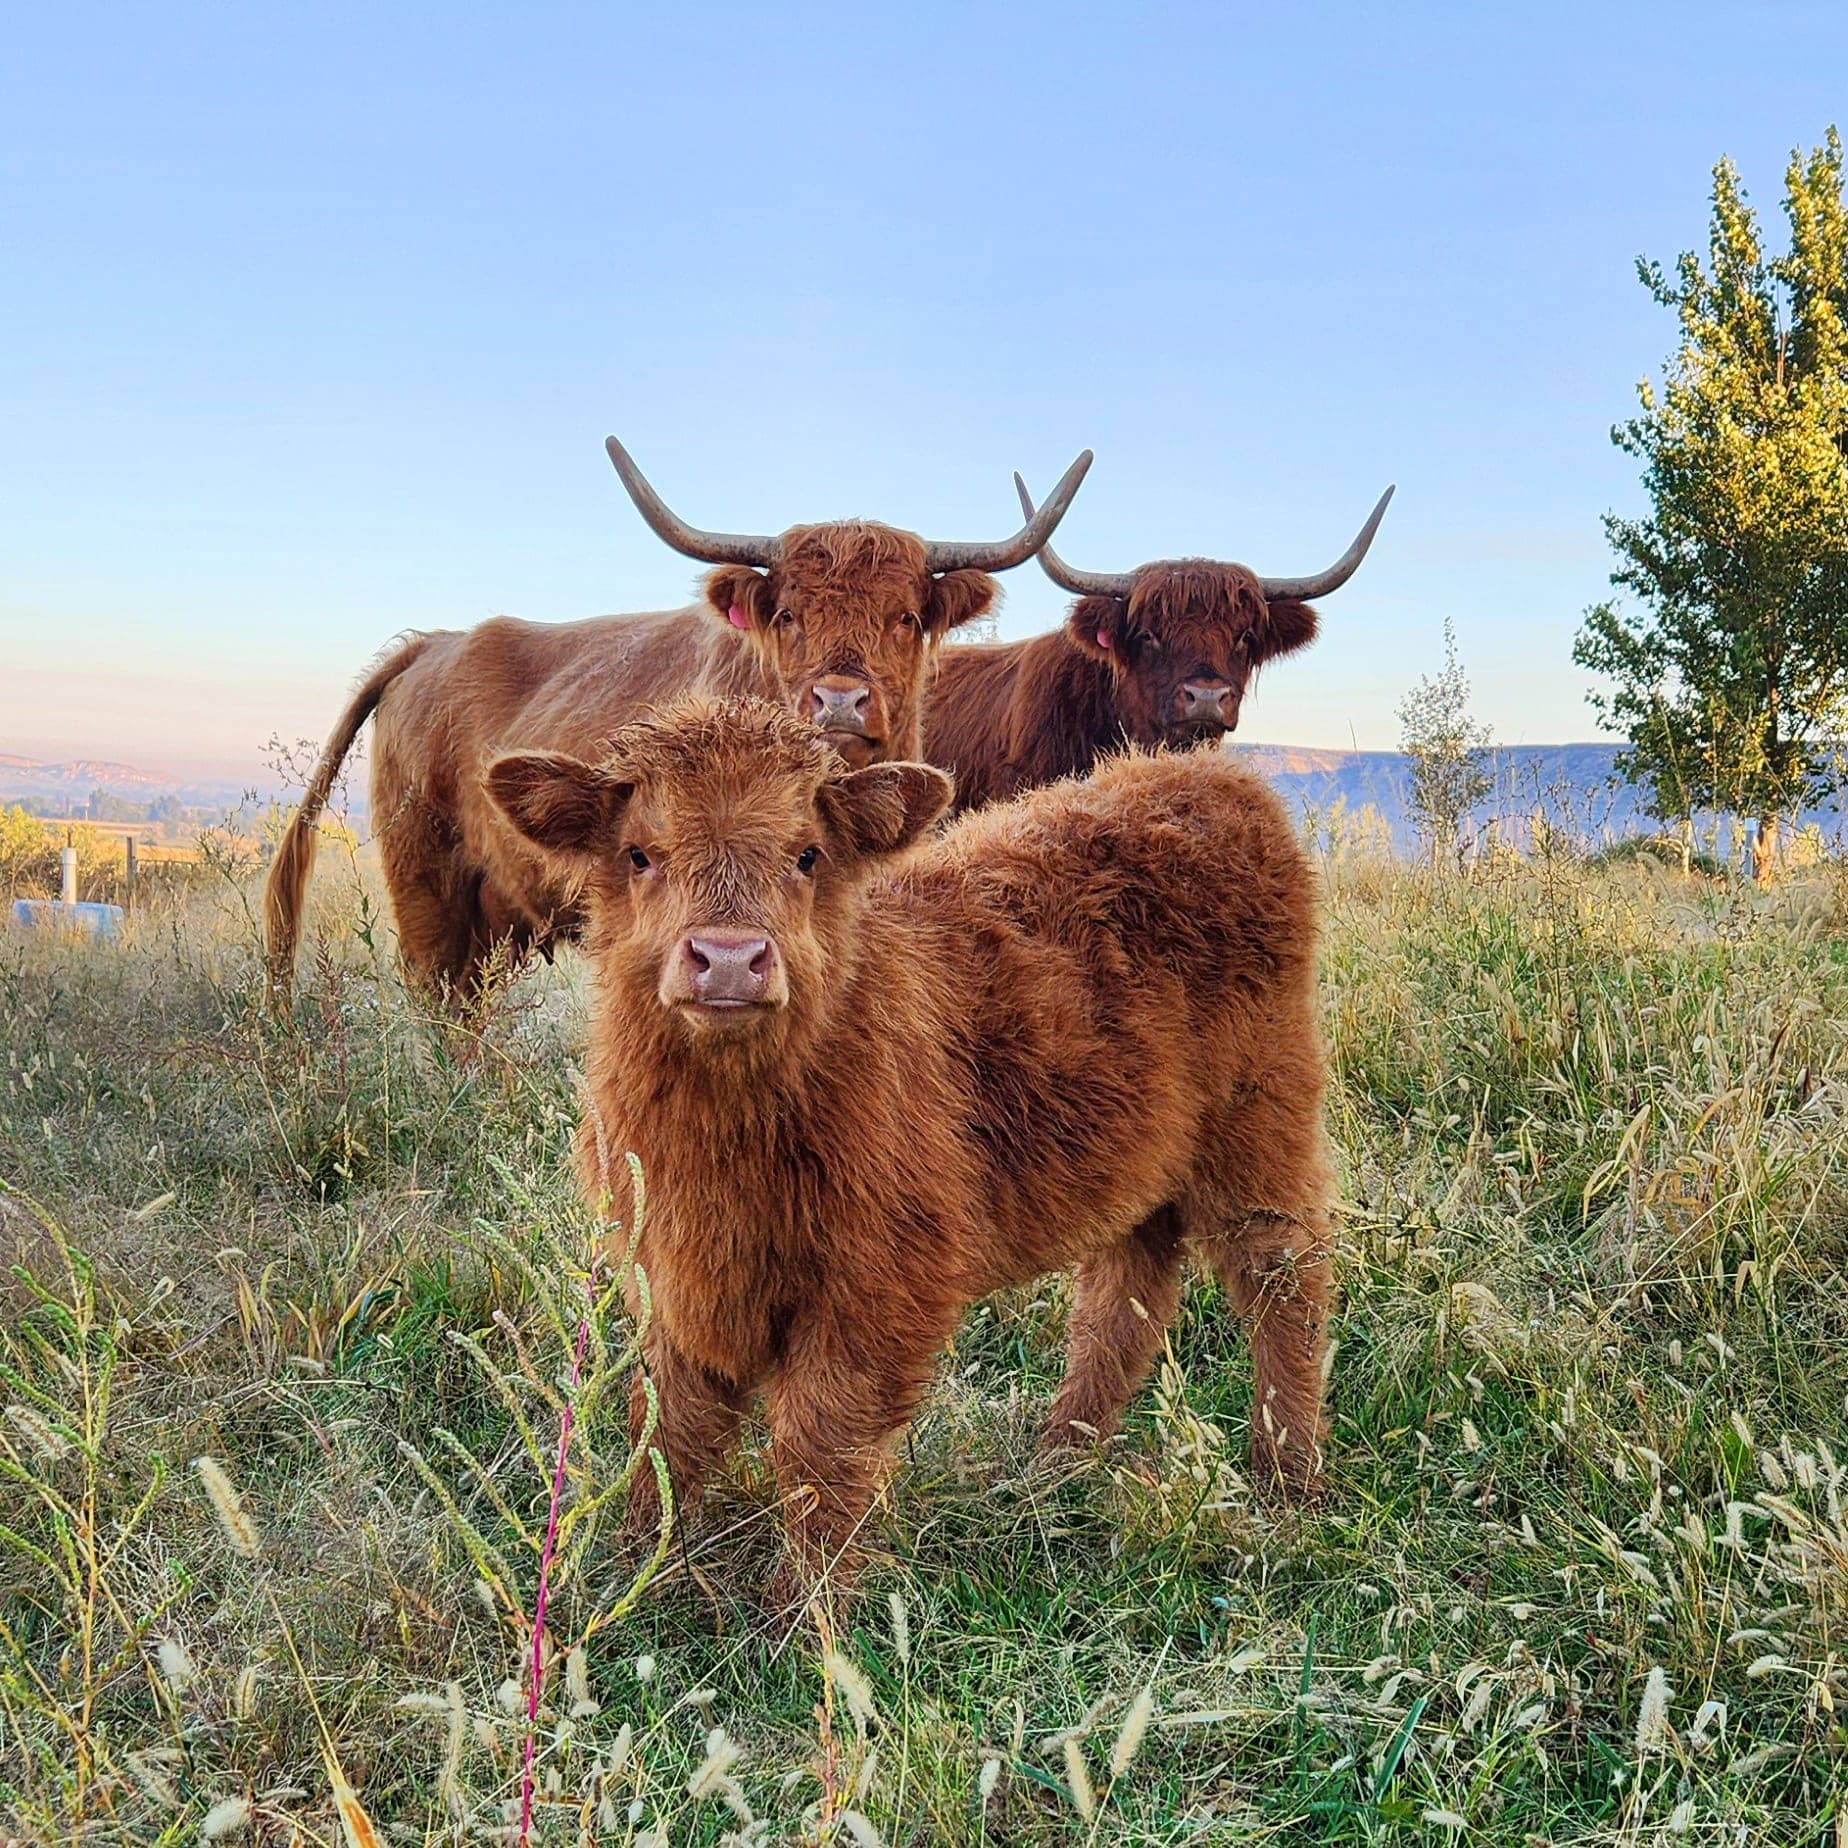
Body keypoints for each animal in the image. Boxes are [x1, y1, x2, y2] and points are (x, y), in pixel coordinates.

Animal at [484, 696, 1333, 1609]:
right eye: (640, 853)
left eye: (807, 854)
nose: (730, 960)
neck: (728, 1144)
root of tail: (1205, 777)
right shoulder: (669, 1276)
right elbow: (664, 1424)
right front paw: (632, 1563)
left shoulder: (879, 1288)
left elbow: (817, 1440)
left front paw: (805, 1608)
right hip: (1138, 1155)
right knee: (1122, 1303)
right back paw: (1058, 1461)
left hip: (1264, 1120)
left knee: (1282, 1278)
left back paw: (1287, 1480)